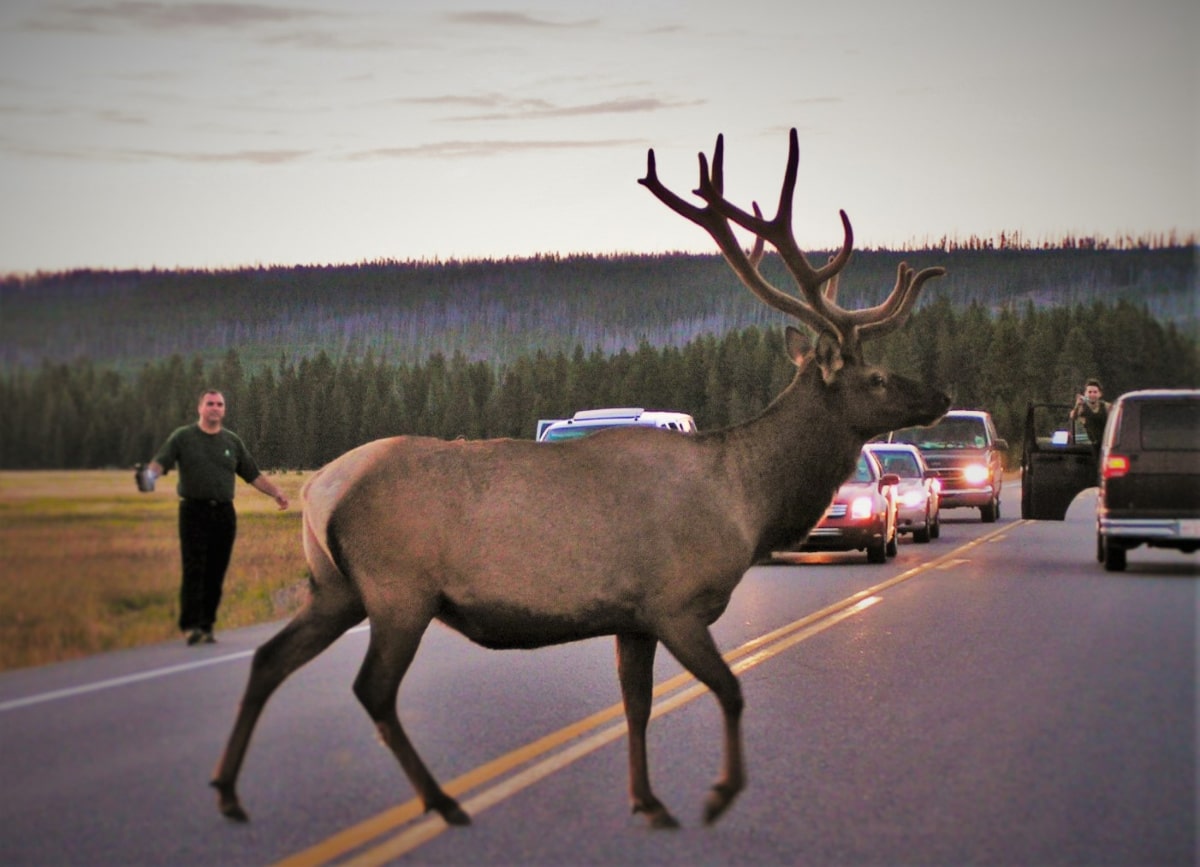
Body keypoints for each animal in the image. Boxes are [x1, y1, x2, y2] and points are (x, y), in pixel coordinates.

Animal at [210, 128, 951, 831]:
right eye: (875, 377)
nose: (940, 394)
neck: (747, 501)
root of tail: (319, 489)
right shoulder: (676, 602)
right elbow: (730, 690)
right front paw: (718, 794)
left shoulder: (634, 617)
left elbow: (636, 707)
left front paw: (648, 801)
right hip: (398, 590)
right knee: (372, 690)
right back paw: (442, 802)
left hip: (335, 588)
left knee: (269, 659)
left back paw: (229, 791)